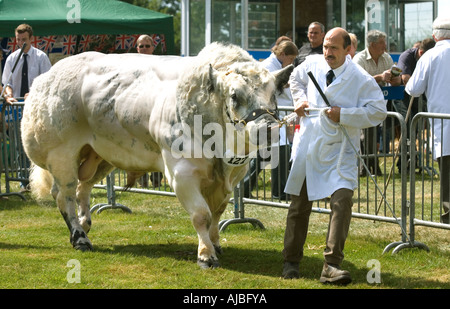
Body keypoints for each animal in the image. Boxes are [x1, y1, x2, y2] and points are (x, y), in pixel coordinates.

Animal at [22, 42, 294, 268]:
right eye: (235, 95)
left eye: (274, 94)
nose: (269, 128)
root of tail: (47, 77)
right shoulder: (181, 173)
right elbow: (202, 215)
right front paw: (205, 255)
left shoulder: (234, 176)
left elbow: (216, 214)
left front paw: (215, 245)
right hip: (61, 153)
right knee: (65, 194)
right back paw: (79, 238)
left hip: (101, 154)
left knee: (82, 188)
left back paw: (85, 225)